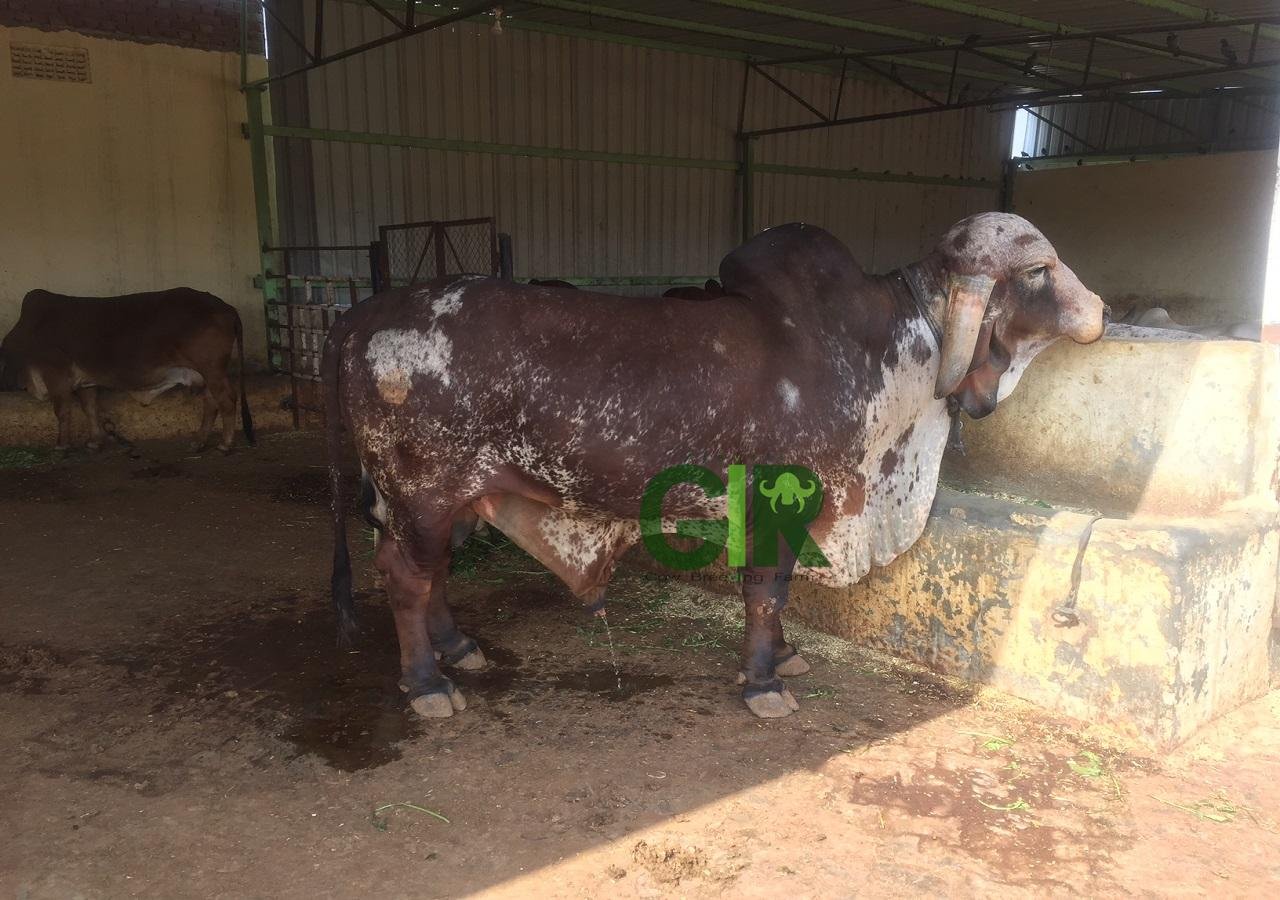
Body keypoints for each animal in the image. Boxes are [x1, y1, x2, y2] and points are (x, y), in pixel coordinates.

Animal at [0, 288, 255, 452]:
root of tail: (226, 308)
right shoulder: (85, 381)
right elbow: (89, 408)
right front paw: (94, 441)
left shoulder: (56, 375)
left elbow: (62, 411)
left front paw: (62, 444)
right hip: (207, 373)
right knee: (211, 403)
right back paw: (199, 441)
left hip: (212, 369)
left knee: (227, 400)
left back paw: (226, 444)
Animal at [321, 213, 1107, 720]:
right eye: (1039, 270)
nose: (1100, 308)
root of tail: (359, 317)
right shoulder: (785, 500)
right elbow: (767, 590)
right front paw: (763, 683)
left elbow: (777, 595)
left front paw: (782, 658)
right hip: (422, 490)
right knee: (406, 577)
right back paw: (426, 683)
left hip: (441, 498)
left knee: (430, 572)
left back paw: (458, 647)